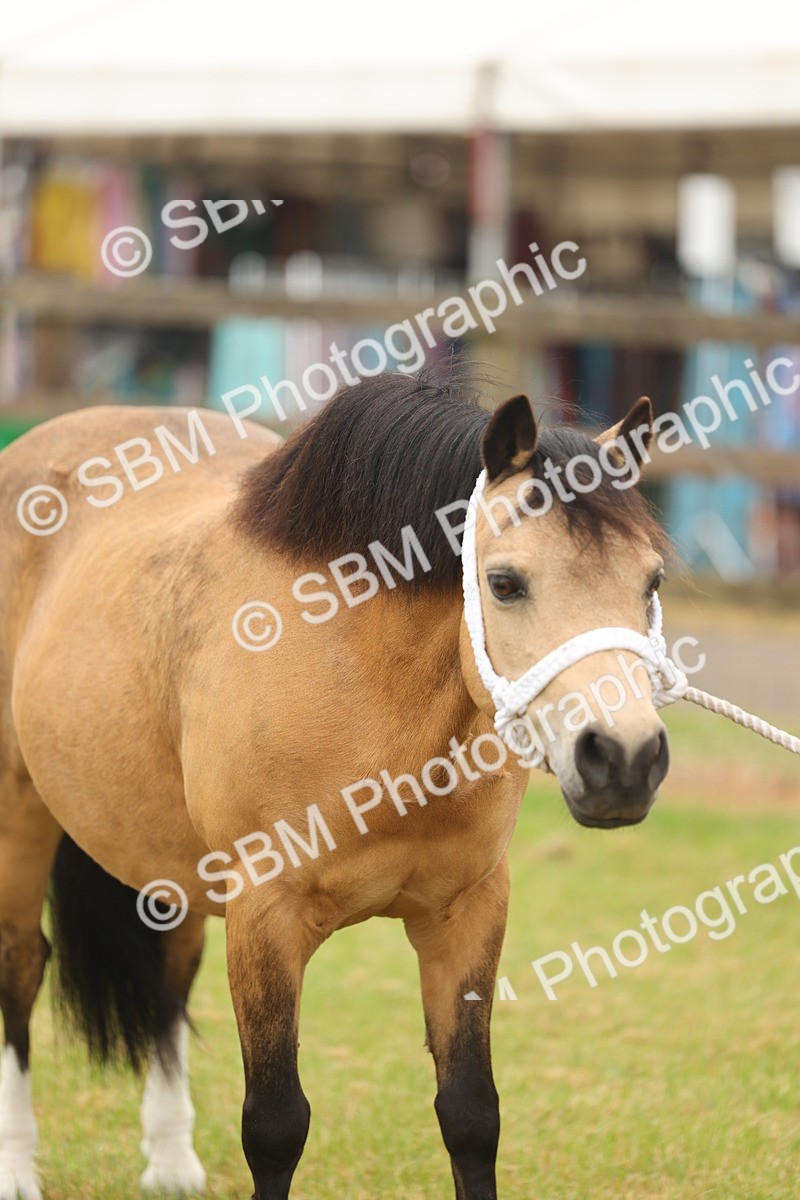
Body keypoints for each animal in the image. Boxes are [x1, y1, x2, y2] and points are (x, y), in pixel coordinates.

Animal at [0, 369, 671, 1200]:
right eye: (506, 583)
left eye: (651, 580)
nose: (626, 757)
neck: (368, 688)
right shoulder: (266, 917)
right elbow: (276, 1126)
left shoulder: (469, 910)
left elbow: (471, 1113)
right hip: (18, 813)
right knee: (21, 967)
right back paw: (17, 1166)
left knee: (169, 971)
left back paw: (171, 1160)